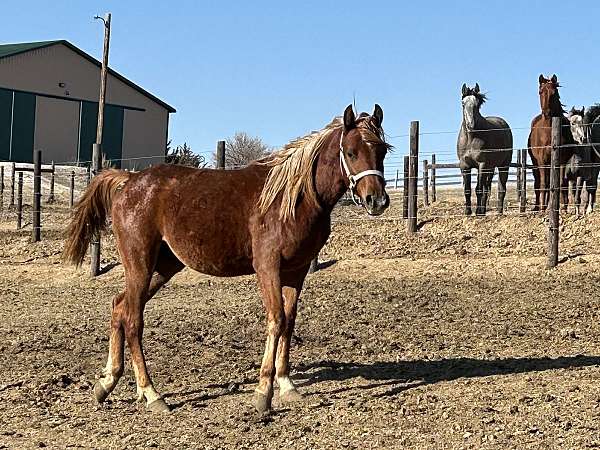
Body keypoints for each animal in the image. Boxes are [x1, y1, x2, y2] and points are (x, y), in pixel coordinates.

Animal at [63, 104, 392, 414]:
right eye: (350, 152)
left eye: (382, 150)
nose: (377, 200)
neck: (292, 198)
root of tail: (129, 180)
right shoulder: (267, 268)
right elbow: (276, 320)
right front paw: (263, 394)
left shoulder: (296, 272)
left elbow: (289, 322)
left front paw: (287, 386)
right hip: (140, 263)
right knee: (132, 320)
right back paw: (152, 394)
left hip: (163, 266)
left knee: (119, 307)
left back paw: (106, 383)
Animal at [458, 85, 512, 217]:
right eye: (463, 103)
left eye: (477, 104)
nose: (470, 125)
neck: (471, 138)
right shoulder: (464, 166)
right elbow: (467, 189)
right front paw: (468, 212)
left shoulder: (481, 165)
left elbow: (478, 189)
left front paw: (477, 212)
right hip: (490, 168)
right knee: (487, 188)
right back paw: (484, 210)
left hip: (503, 166)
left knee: (501, 188)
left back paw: (499, 211)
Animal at [528, 74, 576, 212]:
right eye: (540, 92)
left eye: (554, 93)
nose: (547, 113)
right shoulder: (542, 160)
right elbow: (544, 184)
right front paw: (543, 209)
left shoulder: (562, 160)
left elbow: (561, 184)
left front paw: (563, 209)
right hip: (536, 163)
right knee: (539, 182)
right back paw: (539, 207)